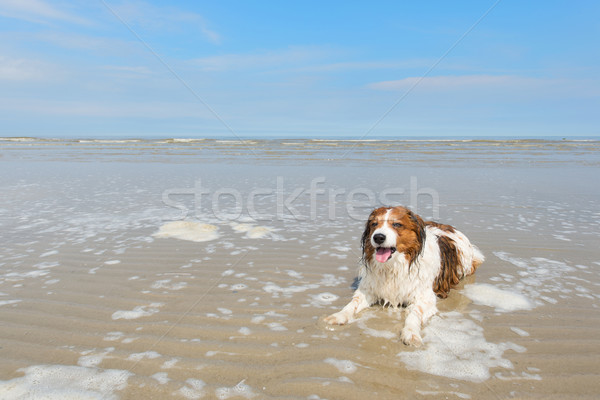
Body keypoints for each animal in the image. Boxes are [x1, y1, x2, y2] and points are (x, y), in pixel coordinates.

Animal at [326, 205, 486, 346]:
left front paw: (411, 333)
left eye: (397, 224)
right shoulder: (368, 290)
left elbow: (414, 314)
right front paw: (339, 315)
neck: (394, 266)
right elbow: (352, 304)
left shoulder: (425, 298)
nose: (378, 237)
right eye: (374, 224)